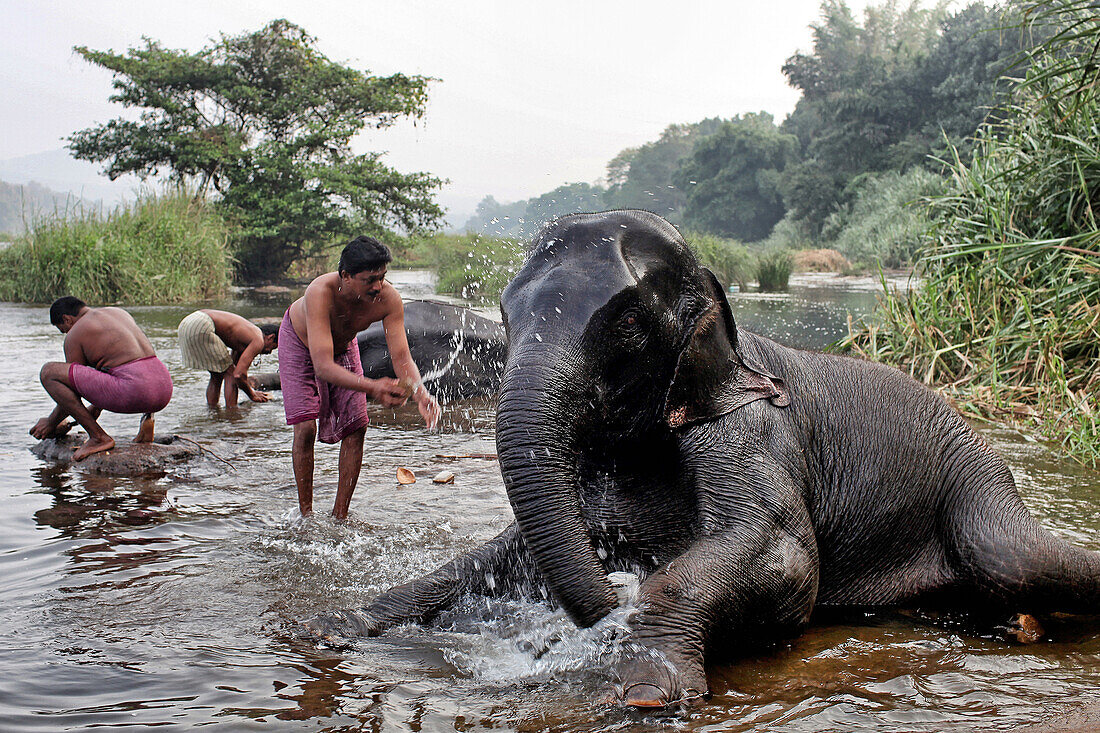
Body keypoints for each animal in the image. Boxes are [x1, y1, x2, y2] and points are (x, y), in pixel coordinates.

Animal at [310, 208, 1100, 704]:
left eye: (628, 324)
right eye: (505, 316)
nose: (612, 595)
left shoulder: (750, 428)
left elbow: (784, 556)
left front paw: (642, 690)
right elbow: (506, 551)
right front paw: (337, 626)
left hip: (977, 479)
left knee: (1011, 555)